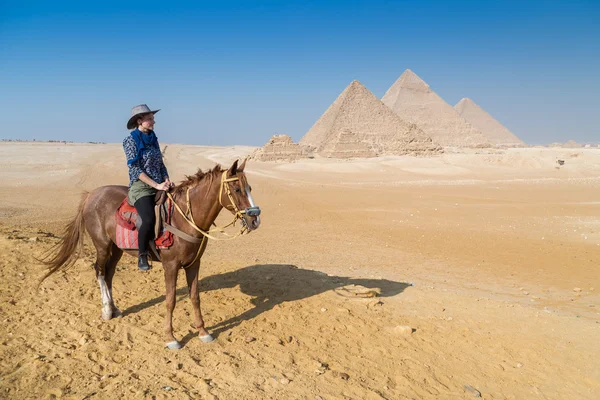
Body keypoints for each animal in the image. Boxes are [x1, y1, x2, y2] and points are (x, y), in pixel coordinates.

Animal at [39, 158, 260, 348]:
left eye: (250, 188)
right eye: (237, 189)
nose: (255, 219)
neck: (185, 219)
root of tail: (90, 195)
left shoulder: (193, 264)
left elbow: (195, 297)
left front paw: (203, 332)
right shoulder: (171, 265)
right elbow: (170, 300)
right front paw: (171, 337)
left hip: (117, 249)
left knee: (109, 274)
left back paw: (114, 308)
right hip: (102, 245)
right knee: (100, 272)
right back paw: (106, 310)